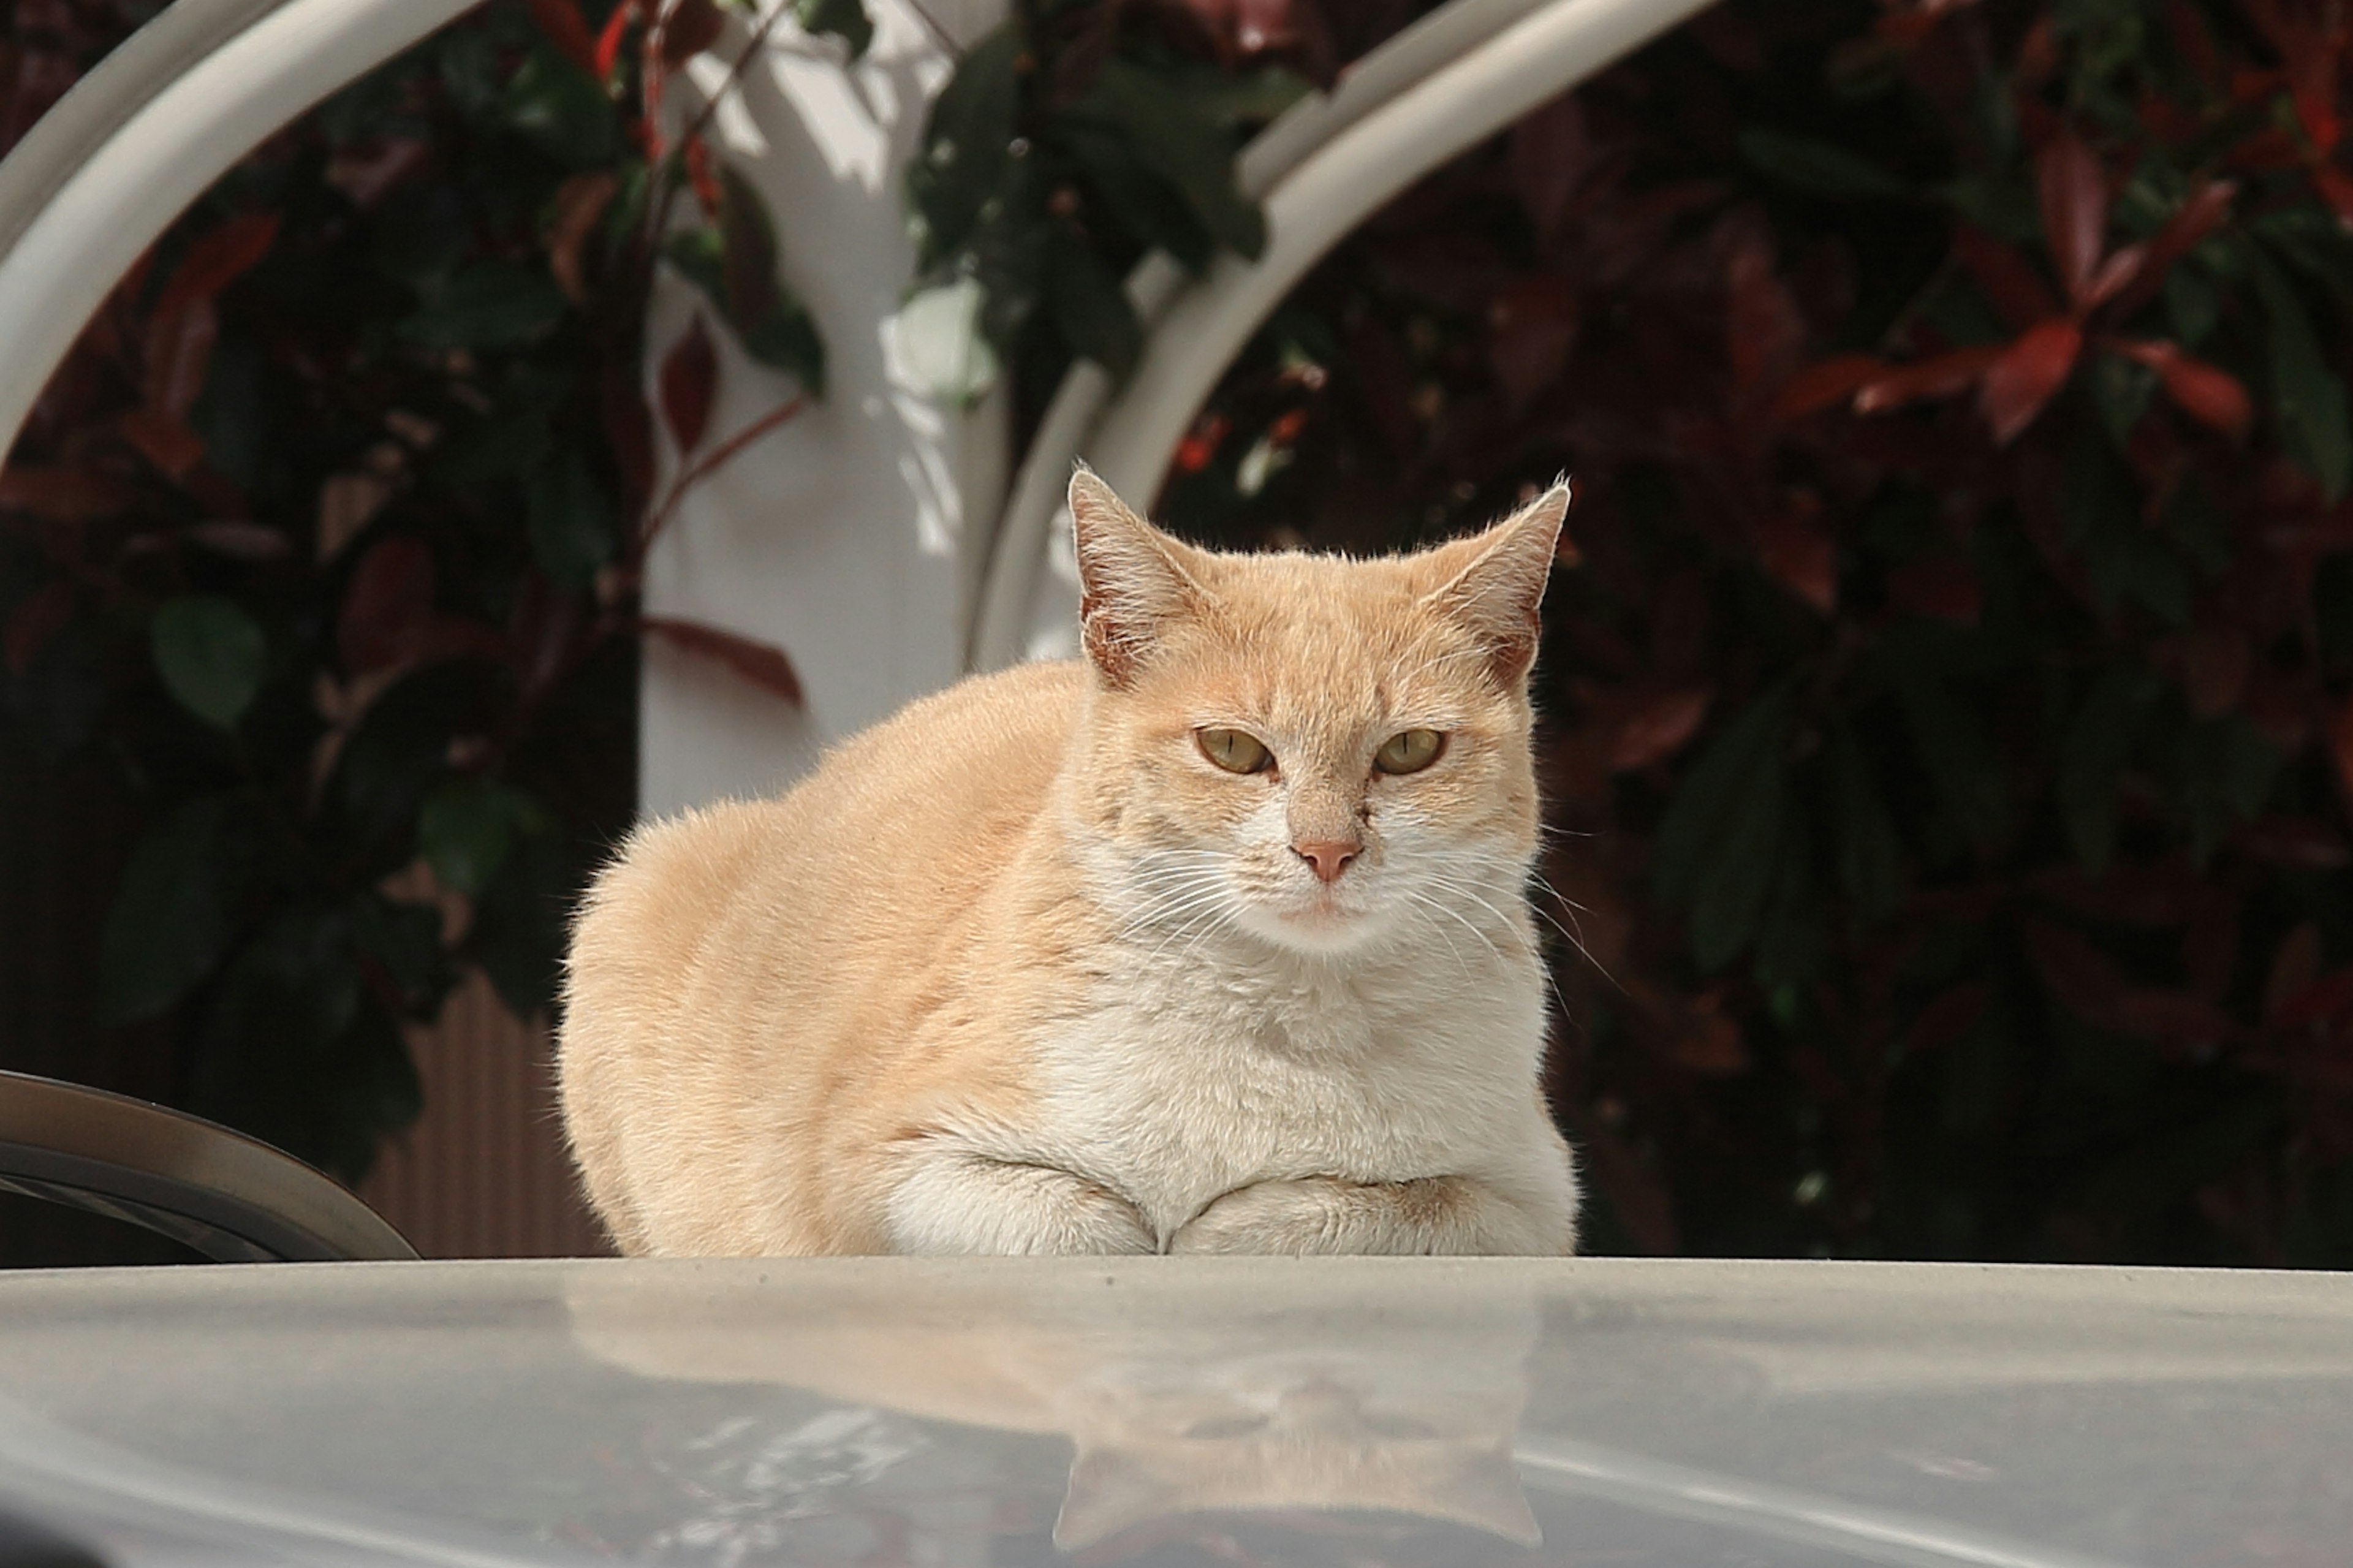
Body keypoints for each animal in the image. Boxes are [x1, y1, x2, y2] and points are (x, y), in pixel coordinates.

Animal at [555, 471, 1581, 1252]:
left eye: (1409, 750)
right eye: (1233, 749)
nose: (1326, 848)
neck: (1283, 1023)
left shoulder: (1530, 1198)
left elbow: (1368, 1207)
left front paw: (1228, 1224)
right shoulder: (890, 1164)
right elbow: (1080, 1224)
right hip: (636, 889)